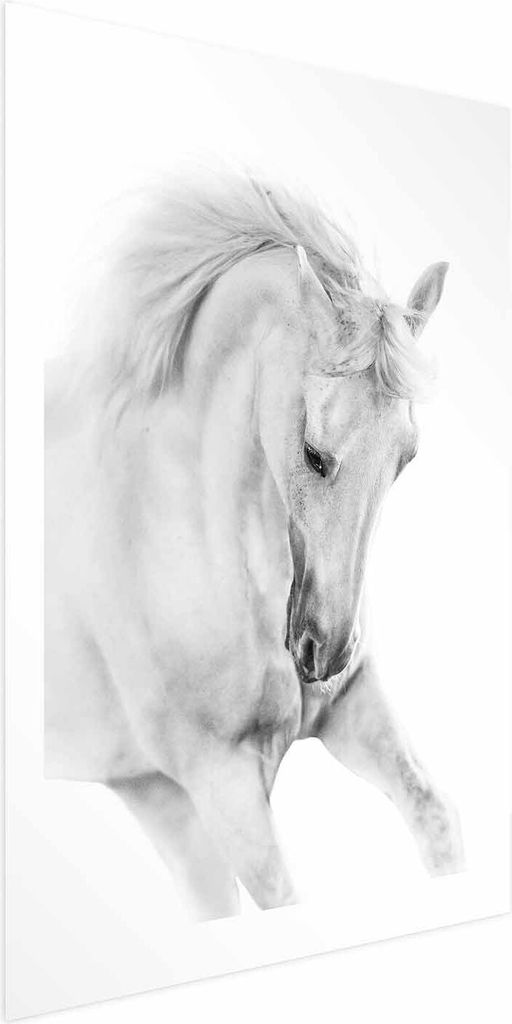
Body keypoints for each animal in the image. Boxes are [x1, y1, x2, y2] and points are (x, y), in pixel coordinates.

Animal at [45, 171, 464, 921]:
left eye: (406, 457)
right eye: (314, 453)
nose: (323, 652)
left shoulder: (354, 710)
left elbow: (436, 819)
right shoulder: (224, 786)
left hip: (154, 798)